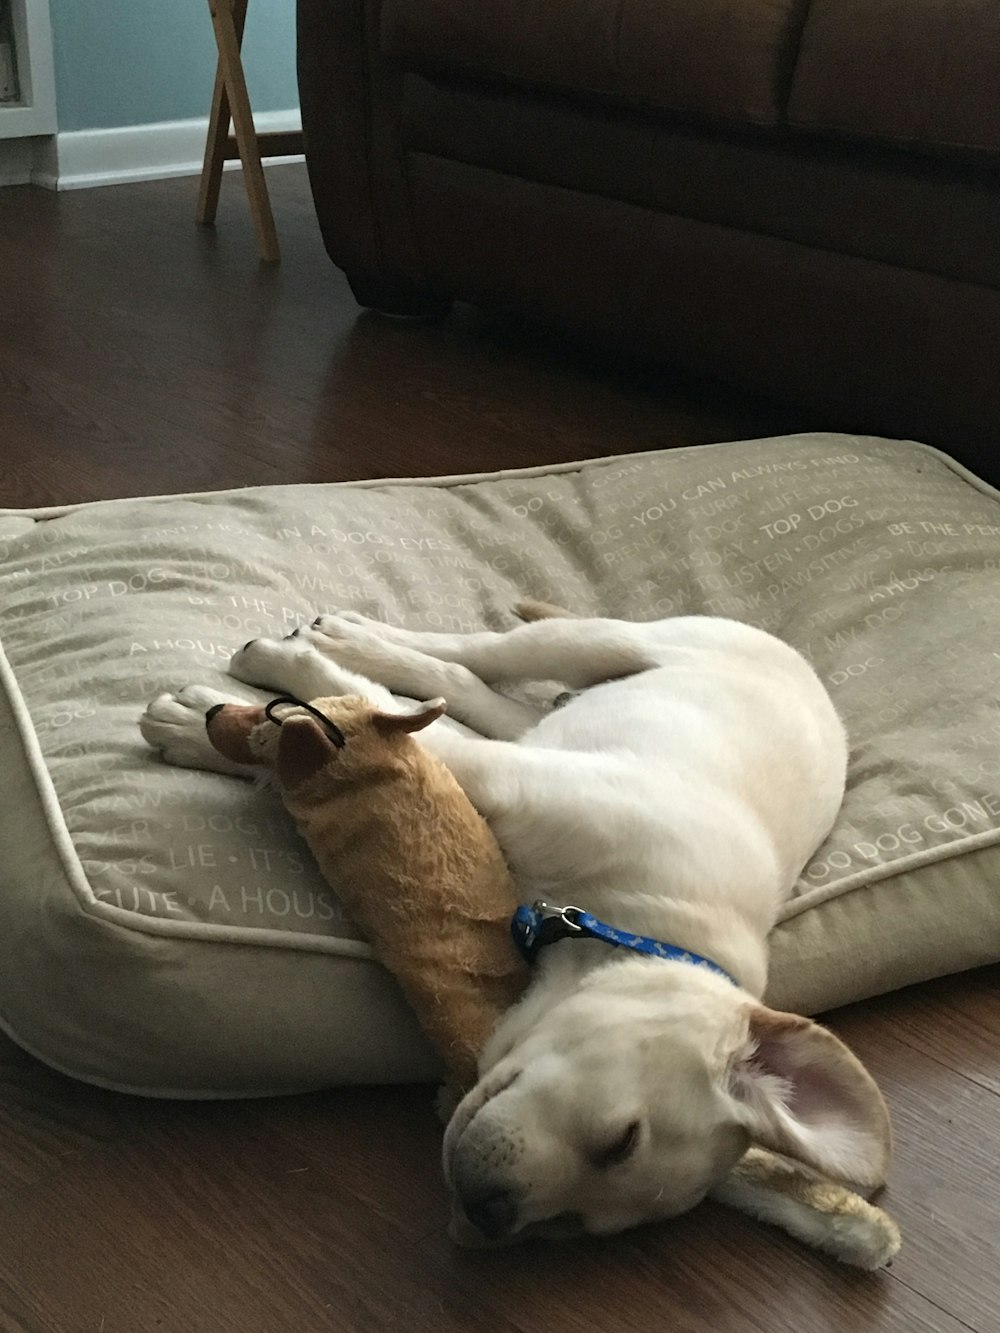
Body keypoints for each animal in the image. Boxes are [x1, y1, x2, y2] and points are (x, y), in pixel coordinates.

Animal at [141, 607, 890, 1247]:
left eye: (578, 1226)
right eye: (622, 1140)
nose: (488, 1216)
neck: (639, 924)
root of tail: (807, 673)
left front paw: (207, 730)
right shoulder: (512, 777)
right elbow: (374, 725)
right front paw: (206, 721)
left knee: (483, 694)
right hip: (606, 640)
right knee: (477, 656)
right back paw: (338, 641)